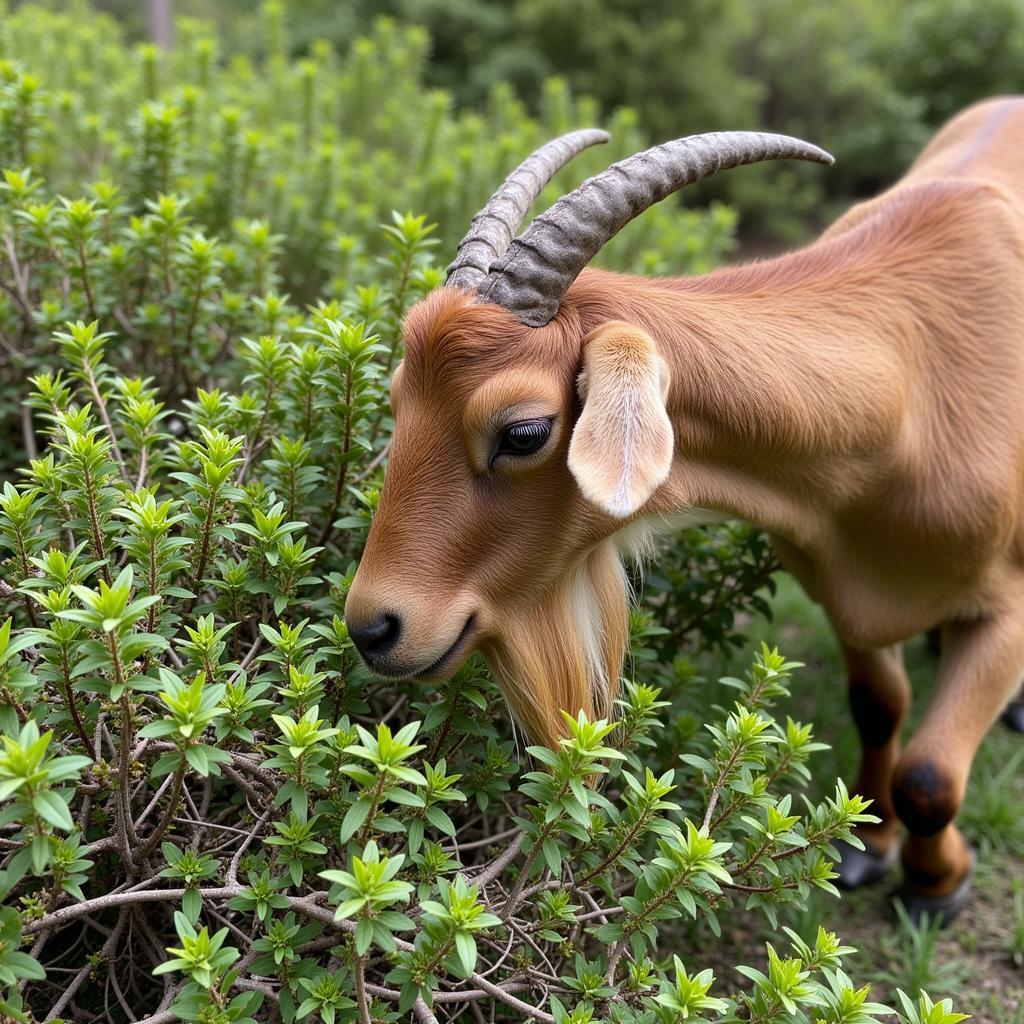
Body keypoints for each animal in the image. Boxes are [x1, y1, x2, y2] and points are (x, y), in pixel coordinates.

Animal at [346, 99, 1024, 925]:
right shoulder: (846, 595)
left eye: (524, 432)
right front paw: (870, 846)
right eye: (398, 400)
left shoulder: (1008, 610)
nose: (373, 628)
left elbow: (928, 776)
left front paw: (937, 887)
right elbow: (879, 707)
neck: (913, 388)